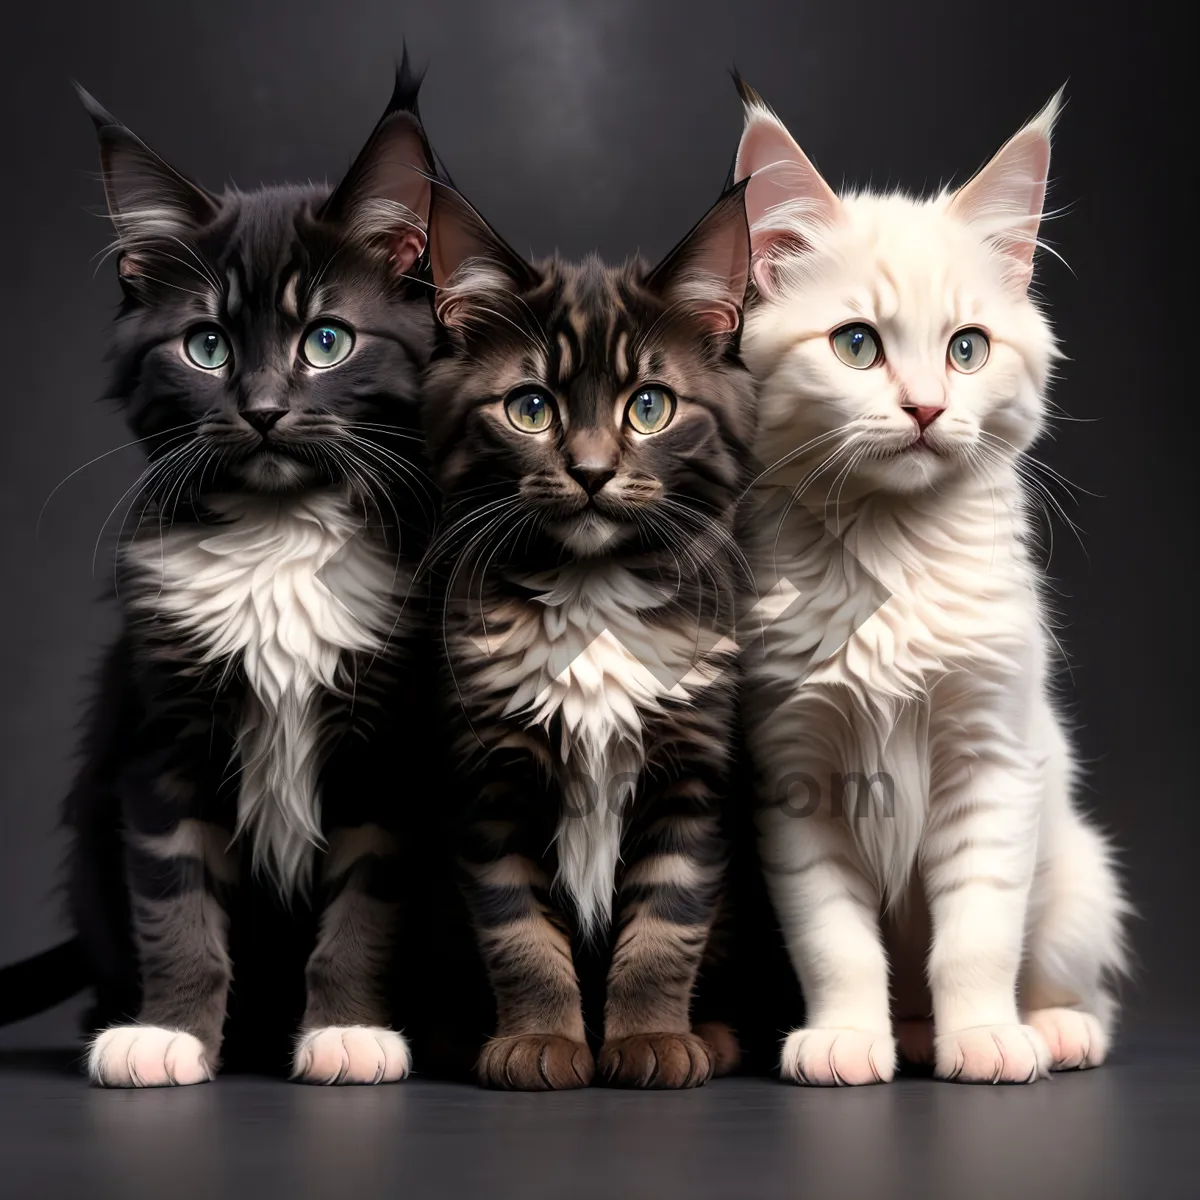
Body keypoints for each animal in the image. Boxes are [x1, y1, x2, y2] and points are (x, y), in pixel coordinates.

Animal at [60, 72, 436, 1089]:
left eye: (328, 341)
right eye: (207, 348)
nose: (264, 411)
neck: (278, 537)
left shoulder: (384, 753)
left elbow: (366, 904)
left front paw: (348, 1031)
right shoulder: (159, 741)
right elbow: (175, 902)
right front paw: (168, 1034)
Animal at [422, 182, 753, 1094]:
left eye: (650, 406)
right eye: (531, 408)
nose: (594, 471)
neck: (592, 591)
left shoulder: (689, 771)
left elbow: (668, 920)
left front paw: (652, 1039)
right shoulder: (489, 779)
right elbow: (517, 927)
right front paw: (541, 1040)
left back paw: (714, 1034)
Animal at [729, 91, 1132, 1089]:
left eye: (967, 349)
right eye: (857, 346)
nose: (924, 409)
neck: (890, 556)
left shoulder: (993, 763)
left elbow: (975, 939)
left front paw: (985, 1039)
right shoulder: (796, 780)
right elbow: (838, 945)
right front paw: (845, 1039)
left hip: (1077, 884)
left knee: (1080, 989)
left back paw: (1051, 1030)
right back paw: (909, 1034)